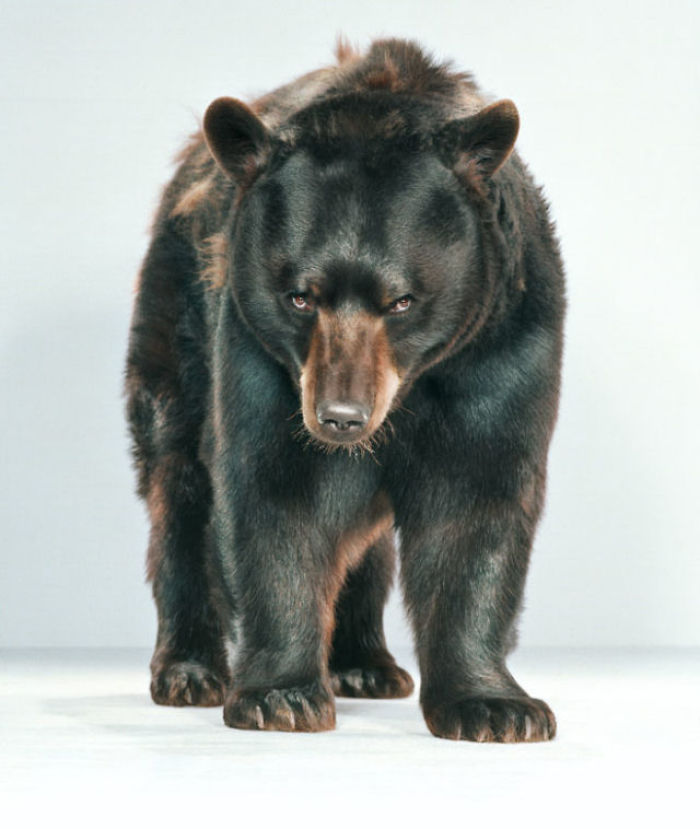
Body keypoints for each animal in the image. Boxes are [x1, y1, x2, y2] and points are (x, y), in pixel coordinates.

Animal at [125, 38, 565, 742]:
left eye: (403, 300)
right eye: (300, 296)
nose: (340, 417)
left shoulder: (503, 344)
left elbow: (479, 501)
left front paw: (496, 707)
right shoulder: (259, 353)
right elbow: (275, 493)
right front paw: (280, 696)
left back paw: (366, 664)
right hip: (178, 321)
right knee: (179, 480)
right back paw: (188, 669)